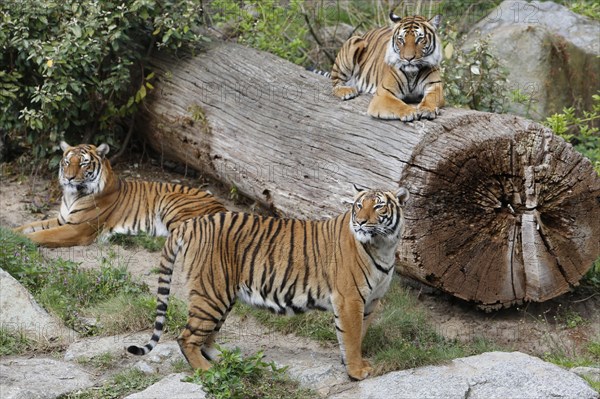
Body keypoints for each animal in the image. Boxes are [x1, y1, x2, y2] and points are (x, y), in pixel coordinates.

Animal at [15, 141, 230, 247]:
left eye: (83, 163)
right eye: (67, 162)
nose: (68, 178)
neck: (71, 195)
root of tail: (222, 206)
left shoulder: (76, 229)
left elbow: (40, 235)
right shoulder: (62, 220)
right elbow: (29, 227)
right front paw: (11, 232)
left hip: (172, 204)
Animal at [126, 186, 408, 382]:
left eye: (379, 207)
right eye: (359, 206)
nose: (360, 221)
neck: (384, 246)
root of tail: (191, 223)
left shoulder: (371, 300)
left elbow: (358, 334)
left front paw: (352, 363)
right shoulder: (350, 299)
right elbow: (351, 336)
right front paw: (356, 371)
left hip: (222, 295)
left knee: (206, 338)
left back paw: (226, 360)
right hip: (212, 294)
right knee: (186, 338)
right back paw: (208, 371)